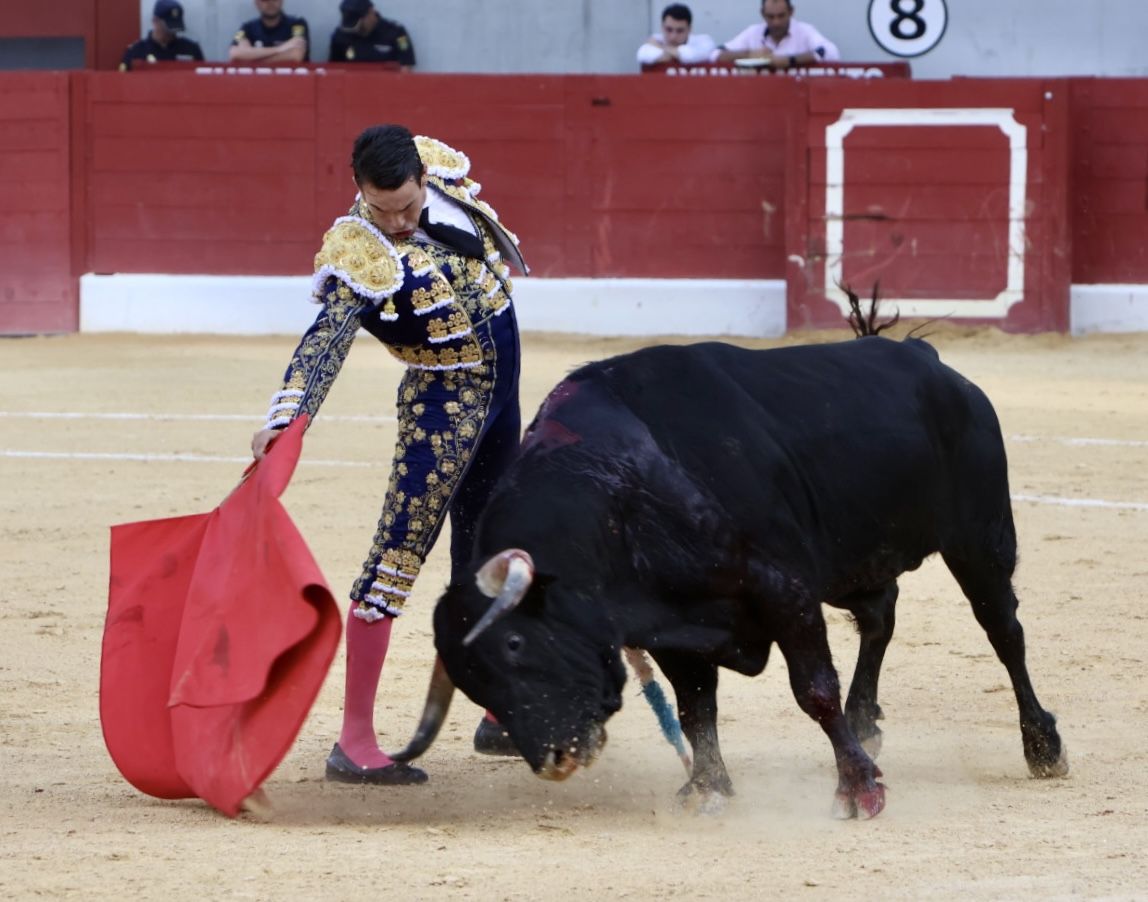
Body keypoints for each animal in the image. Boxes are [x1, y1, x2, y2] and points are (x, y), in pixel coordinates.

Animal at [392, 330, 1065, 817]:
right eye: (473, 682)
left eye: (513, 642)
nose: (555, 758)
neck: (619, 489)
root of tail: (927, 359)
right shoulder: (672, 627)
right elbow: (696, 709)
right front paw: (708, 788)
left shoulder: (784, 590)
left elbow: (812, 690)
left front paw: (858, 789)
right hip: (859, 562)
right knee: (880, 618)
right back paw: (866, 719)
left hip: (979, 537)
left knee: (1004, 631)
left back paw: (1043, 747)